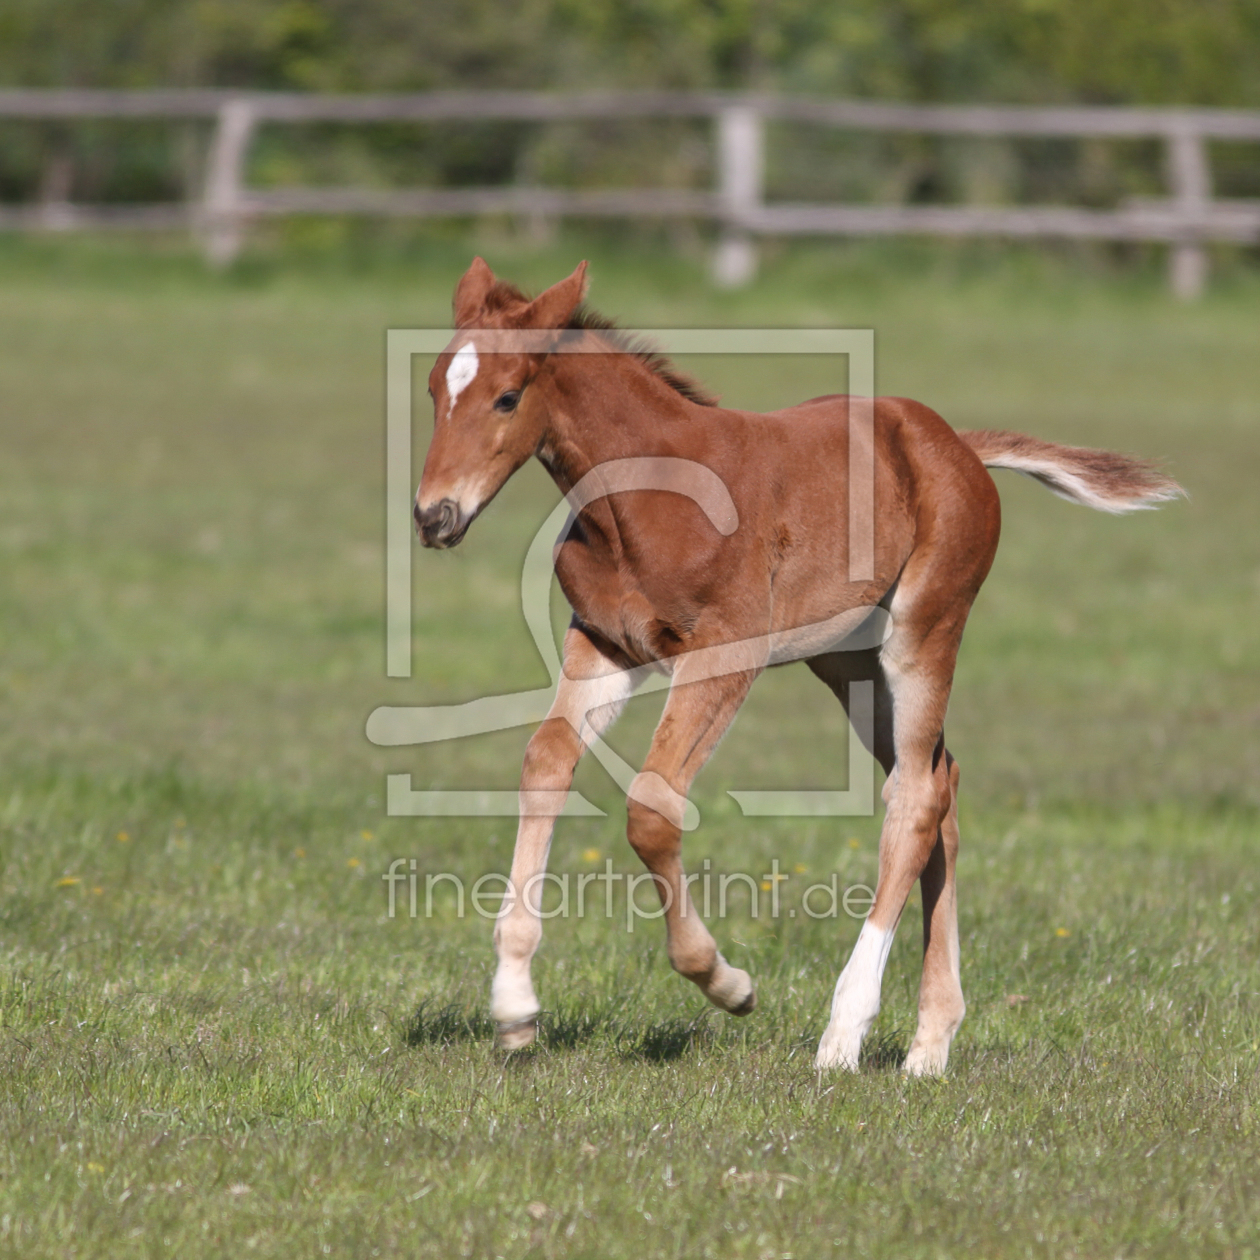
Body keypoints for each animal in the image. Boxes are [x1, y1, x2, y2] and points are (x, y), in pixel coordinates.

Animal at [415, 258, 1179, 1073]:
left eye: (507, 395)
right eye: (433, 389)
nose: (433, 516)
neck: (641, 499)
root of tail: (956, 446)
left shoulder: (725, 652)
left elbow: (652, 807)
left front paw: (726, 982)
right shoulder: (603, 644)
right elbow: (546, 760)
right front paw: (514, 1004)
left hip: (924, 633)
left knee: (914, 798)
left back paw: (844, 1035)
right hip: (847, 662)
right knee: (941, 783)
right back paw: (930, 1043)